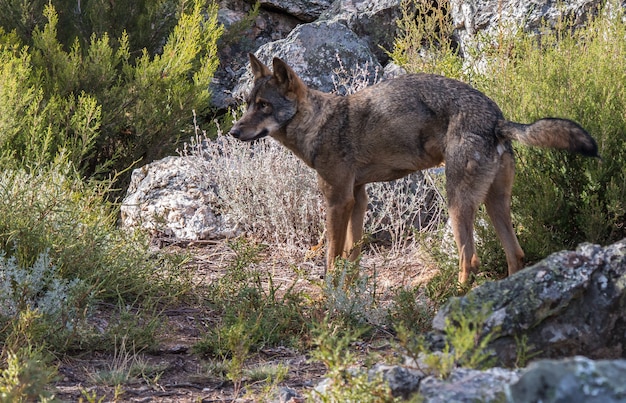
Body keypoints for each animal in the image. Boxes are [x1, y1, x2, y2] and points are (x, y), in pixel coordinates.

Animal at [228, 53, 596, 284]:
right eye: (247, 104)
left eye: (264, 106)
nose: (233, 132)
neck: (320, 124)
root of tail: (497, 119)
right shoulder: (357, 199)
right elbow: (352, 253)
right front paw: (351, 291)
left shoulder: (337, 201)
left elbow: (332, 256)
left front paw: (329, 293)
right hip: (494, 205)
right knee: (516, 255)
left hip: (456, 205)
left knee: (470, 258)